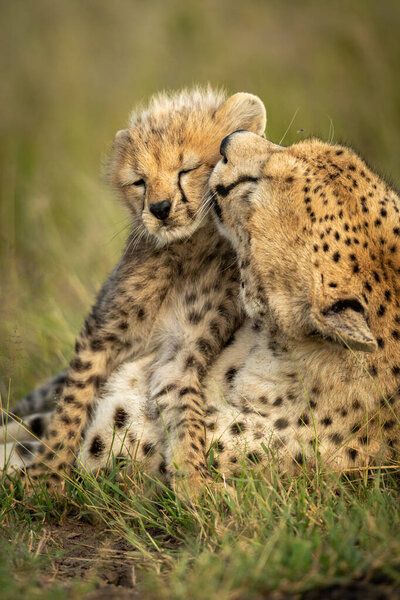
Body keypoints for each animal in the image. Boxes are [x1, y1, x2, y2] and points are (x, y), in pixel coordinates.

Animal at [3, 89, 268, 492]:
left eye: (187, 170)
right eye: (139, 181)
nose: (159, 208)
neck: (187, 249)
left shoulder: (180, 354)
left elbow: (186, 414)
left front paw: (195, 481)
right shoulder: (101, 334)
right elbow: (72, 405)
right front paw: (46, 477)